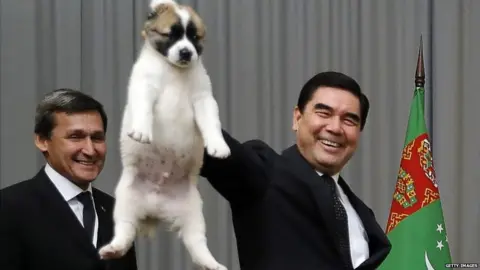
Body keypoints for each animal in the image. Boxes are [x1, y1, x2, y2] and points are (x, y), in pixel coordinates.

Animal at [97, 0, 229, 268]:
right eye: (172, 35)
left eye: (194, 37)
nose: (186, 52)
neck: (173, 70)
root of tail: (155, 210)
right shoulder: (143, 88)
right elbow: (143, 109)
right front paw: (141, 130)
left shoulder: (203, 98)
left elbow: (211, 121)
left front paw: (218, 145)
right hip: (125, 201)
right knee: (125, 228)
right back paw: (114, 248)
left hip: (193, 214)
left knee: (197, 244)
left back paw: (213, 263)